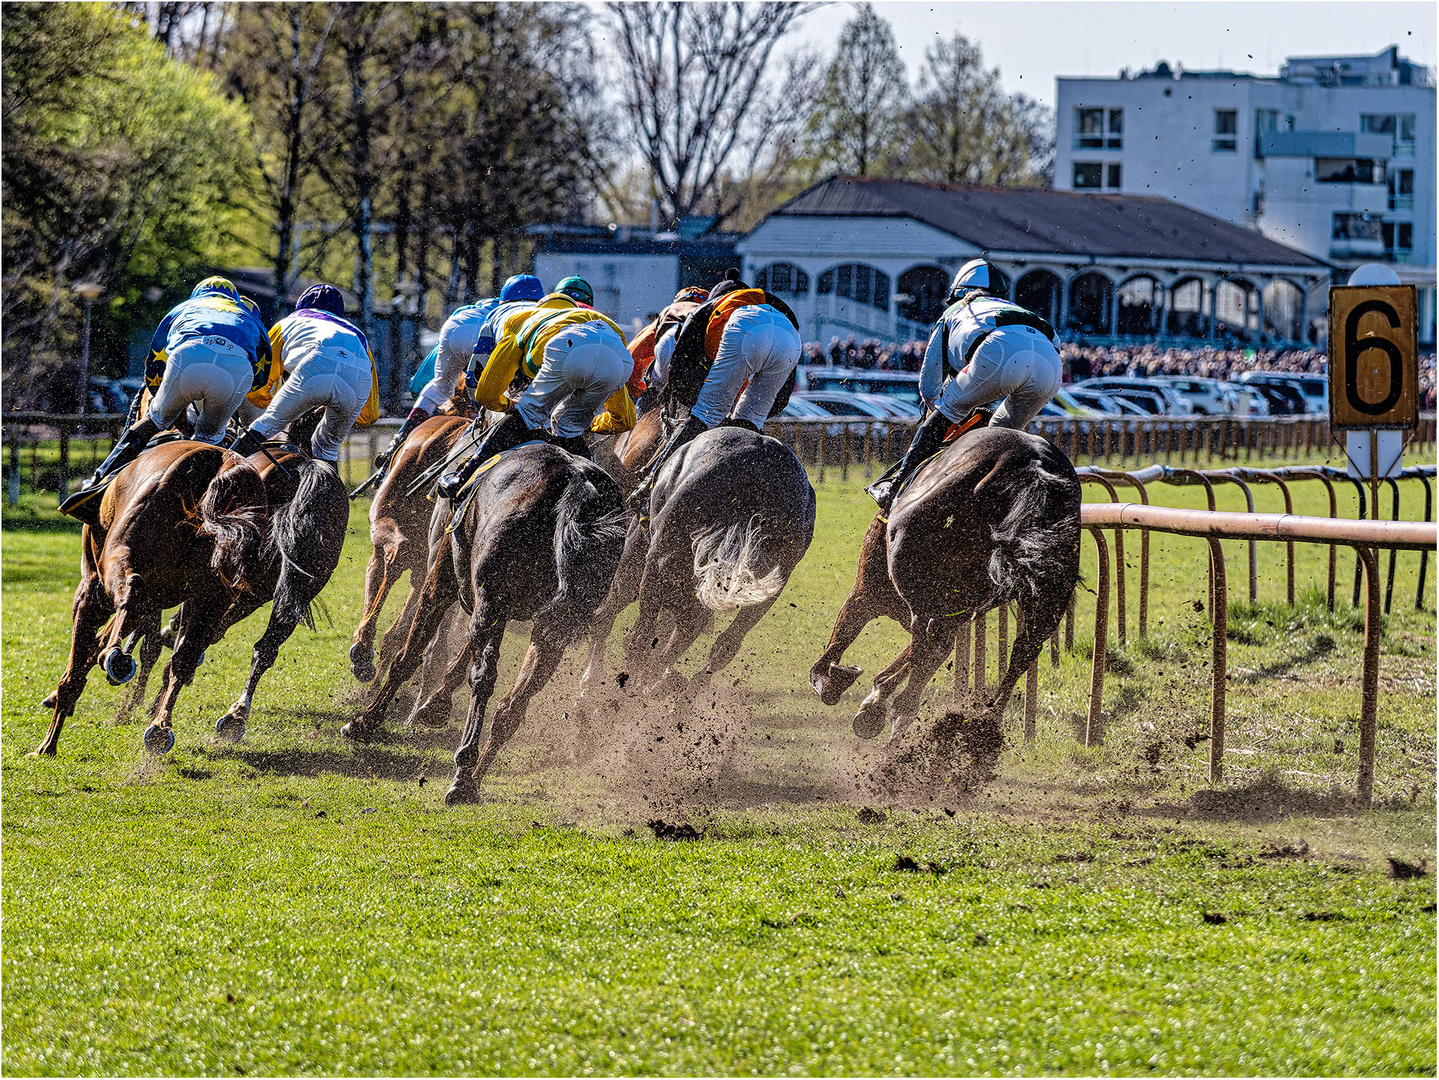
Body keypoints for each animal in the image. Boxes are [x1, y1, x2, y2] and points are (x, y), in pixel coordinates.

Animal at [31, 442, 267, 753]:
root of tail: (221, 464)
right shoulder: (159, 603)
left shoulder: (90, 592)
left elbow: (76, 669)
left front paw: (48, 744)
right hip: (212, 600)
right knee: (184, 659)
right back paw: (160, 727)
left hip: (120, 564)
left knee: (130, 590)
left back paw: (116, 660)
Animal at [342, 440, 630, 805]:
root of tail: (574, 485)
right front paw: (433, 705)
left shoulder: (442, 582)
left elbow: (408, 656)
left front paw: (366, 721)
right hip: (554, 627)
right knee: (513, 705)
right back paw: (474, 778)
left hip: (490, 599)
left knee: (483, 679)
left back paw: (464, 766)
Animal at [811, 425, 1082, 747]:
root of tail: (1032, 465)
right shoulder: (957, 612)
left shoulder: (867, 593)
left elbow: (833, 650)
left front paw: (836, 681)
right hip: (1050, 592)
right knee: (1024, 648)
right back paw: (986, 723)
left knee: (929, 641)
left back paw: (890, 712)